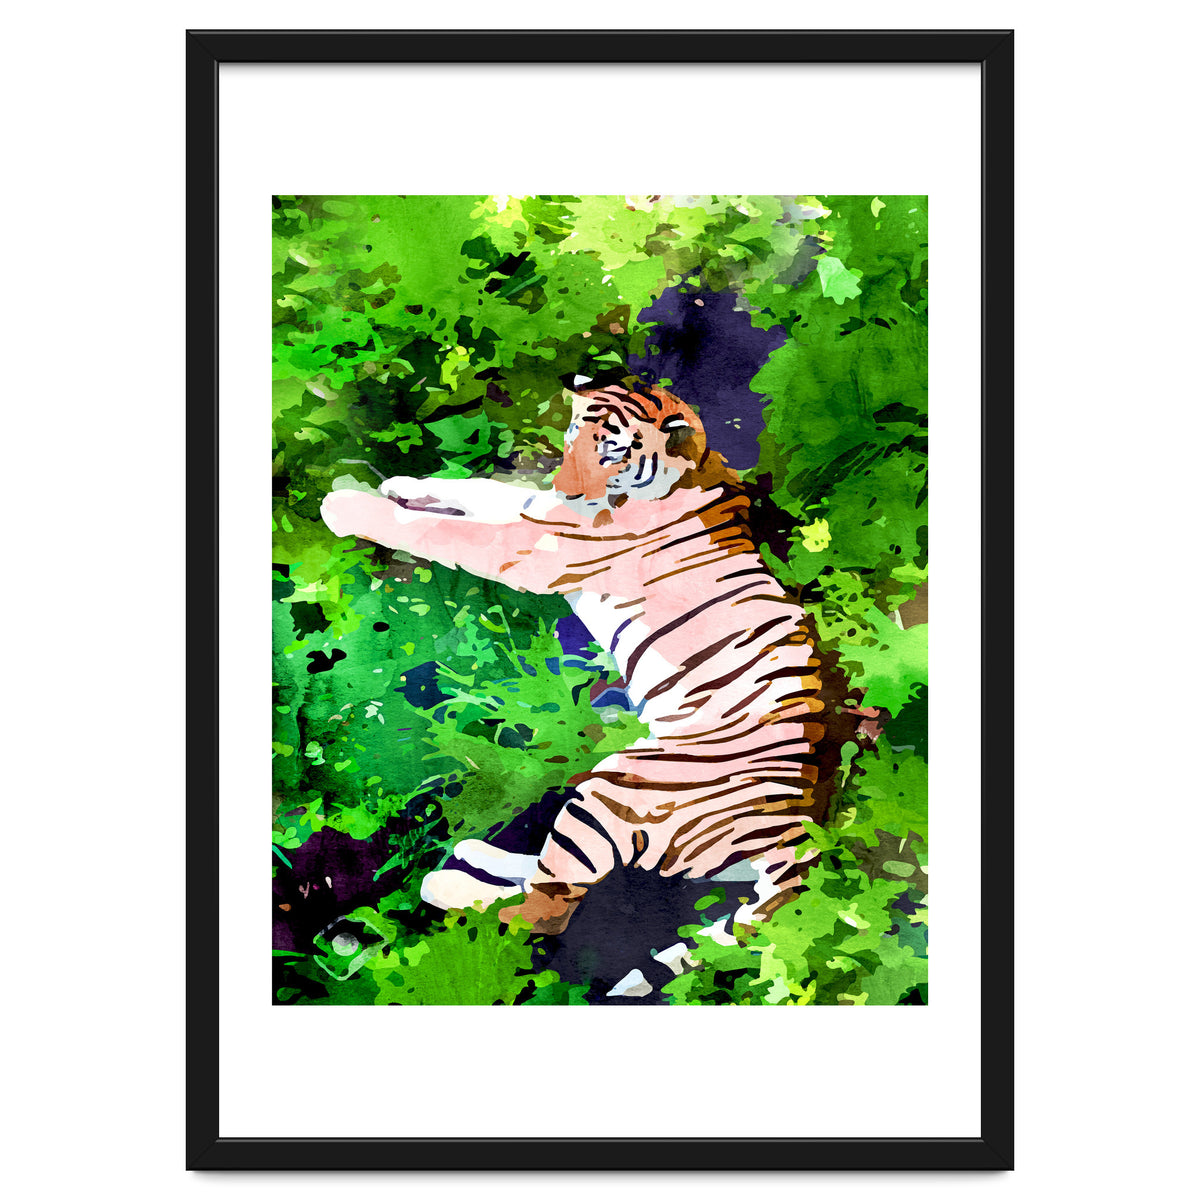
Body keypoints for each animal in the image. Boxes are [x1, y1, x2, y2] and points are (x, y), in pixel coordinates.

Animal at [320, 376, 856, 937]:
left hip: (615, 791)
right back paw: (475, 853)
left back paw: (445, 884)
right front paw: (402, 483)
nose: (569, 489)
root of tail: (795, 832)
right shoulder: (538, 511)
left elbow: (438, 530)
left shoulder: (532, 546)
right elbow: (482, 490)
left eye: (612, 452)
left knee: (543, 910)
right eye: (574, 435)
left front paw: (345, 505)